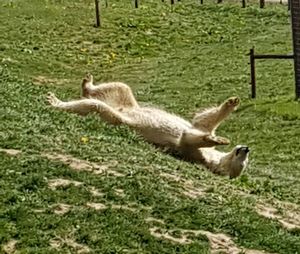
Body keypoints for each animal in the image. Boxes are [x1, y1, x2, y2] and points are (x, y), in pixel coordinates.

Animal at [46, 74, 248, 179]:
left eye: (243, 164)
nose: (246, 148)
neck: (213, 158)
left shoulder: (192, 152)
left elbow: (190, 138)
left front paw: (218, 138)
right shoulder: (199, 133)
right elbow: (202, 121)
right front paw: (232, 102)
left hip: (116, 117)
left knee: (95, 106)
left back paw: (54, 100)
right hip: (127, 103)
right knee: (120, 87)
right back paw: (86, 83)